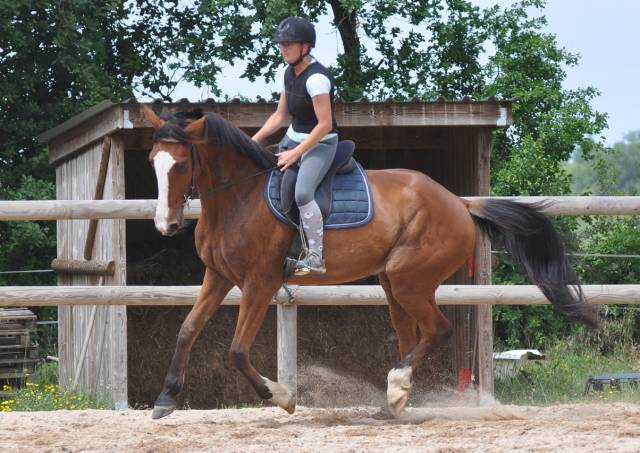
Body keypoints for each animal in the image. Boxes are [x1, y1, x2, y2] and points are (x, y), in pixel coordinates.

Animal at [142, 106, 598, 419]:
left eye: (179, 164)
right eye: (152, 162)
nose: (166, 225)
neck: (239, 198)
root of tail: (459, 202)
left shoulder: (260, 282)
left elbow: (237, 350)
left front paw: (282, 397)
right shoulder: (218, 277)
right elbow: (187, 330)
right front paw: (165, 399)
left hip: (408, 280)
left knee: (439, 329)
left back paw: (396, 389)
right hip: (393, 285)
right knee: (411, 336)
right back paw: (394, 401)